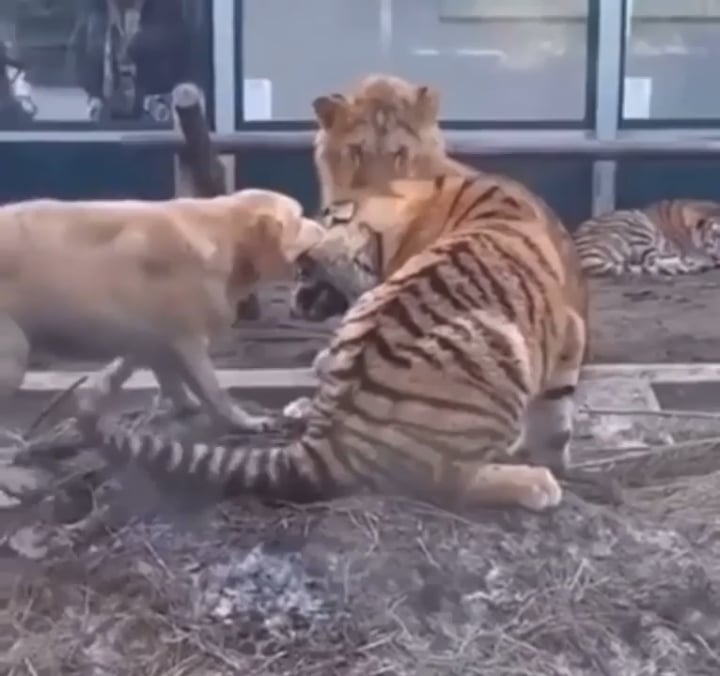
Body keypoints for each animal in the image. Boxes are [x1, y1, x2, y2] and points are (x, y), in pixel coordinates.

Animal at [0, 189, 324, 430]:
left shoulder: (155, 338)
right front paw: (245, 421)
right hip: (13, 354)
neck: (226, 235)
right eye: (299, 218)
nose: (324, 226)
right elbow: (213, 390)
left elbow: (142, 368)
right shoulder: (186, 340)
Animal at [78, 174, 587, 512]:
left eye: (306, 271)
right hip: (496, 343)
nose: (294, 298)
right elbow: (555, 415)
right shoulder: (569, 334)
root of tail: (338, 435)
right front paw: (551, 458)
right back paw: (534, 483)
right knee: (447, 481)